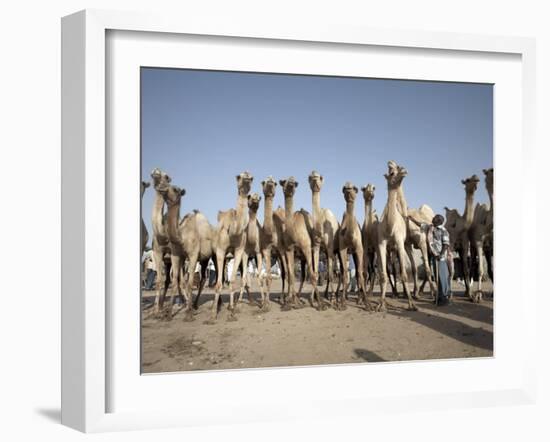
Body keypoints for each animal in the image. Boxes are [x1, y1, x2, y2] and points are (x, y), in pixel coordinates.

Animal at [158, 183, 217, 322]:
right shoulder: (176, 255)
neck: (181, 237)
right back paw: (195, 305)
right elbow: (176, 281)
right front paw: (169, 314)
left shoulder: (193, 255)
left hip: (214, 255)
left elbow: (189, 283)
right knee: (203, 278)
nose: (161, 187)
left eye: (175, 189)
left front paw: (188, 314)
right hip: (205, 259)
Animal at [209, 171, 254, 322]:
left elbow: (233, 280)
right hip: (216, 255)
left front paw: (232, 312)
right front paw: (213, 315)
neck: (233, 230)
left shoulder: (239, 250)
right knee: (220, 279)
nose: (247, 176)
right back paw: (218, 305)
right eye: (238, 176)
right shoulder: (220, 250)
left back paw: (233, 305)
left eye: (251, 178)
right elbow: (219, 283)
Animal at [280, 178, 320, 310]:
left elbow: (311, 274)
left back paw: (314, 299)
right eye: (284, 181)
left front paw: (320, 304)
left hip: (313, 251)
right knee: (301, 275)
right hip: (301, 257)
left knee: (315, 273)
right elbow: (291, 274)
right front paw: (291, 302)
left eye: (294, 182)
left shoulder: (306, 247)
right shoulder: (289, 249)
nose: (291, 184)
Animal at [336, 181, 370, 310]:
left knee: (361, 273)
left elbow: (360, 273)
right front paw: (342, 303)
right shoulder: (342, 248)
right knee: (342, 272)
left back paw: (359, 299)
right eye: (344, 188)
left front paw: (367, 304)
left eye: (355, 188)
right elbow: (345, 273)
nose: (348, 189)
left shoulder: (359, 249)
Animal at [376, 162, 418, 310]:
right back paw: (396, 294)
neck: (390, 226)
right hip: (391, 250)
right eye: (392, 172)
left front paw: (411, 304)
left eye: (399, 166)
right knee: (392, 270)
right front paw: (381, 304)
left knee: (408, 267)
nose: (404, 171)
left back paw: (409, 294)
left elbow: (404, 275)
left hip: (404, 246)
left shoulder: (399, 242)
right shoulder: (382, 244)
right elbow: (384, 275)